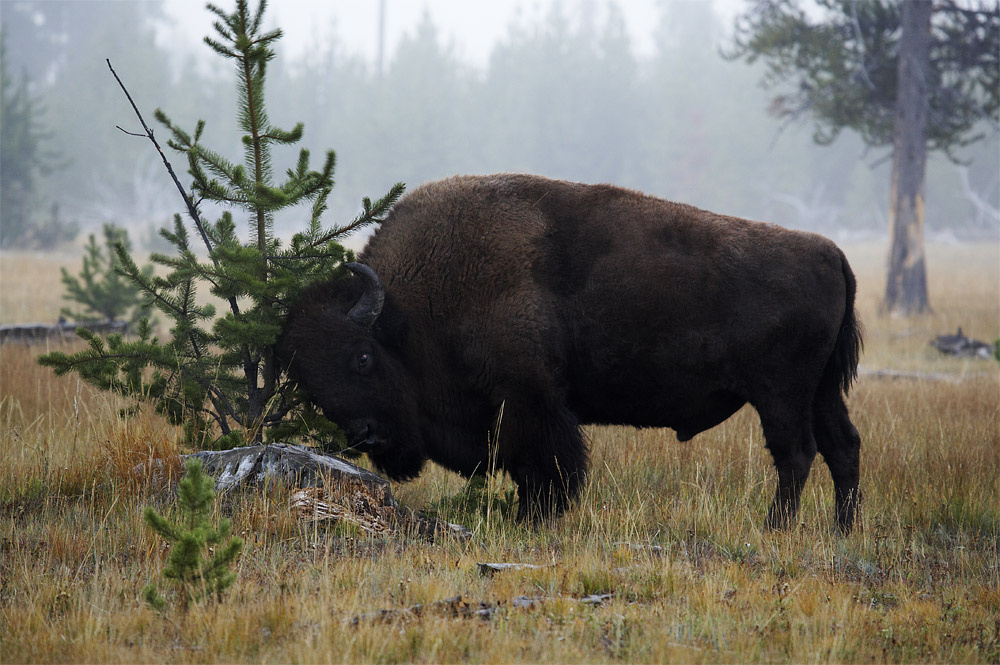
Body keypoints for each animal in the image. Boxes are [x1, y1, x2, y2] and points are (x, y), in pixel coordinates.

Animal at [280, 174, 862, 532]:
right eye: (308, 380)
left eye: (361, 357)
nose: (365, 435)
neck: (411, 307)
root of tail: (831, 252)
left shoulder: (529, 400)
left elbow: (546, 467)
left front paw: (534, 519)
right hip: (821, 393)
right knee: (843, 448)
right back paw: (841, 531)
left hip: (781, 394)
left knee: (796, 454)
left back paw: (773, 530)